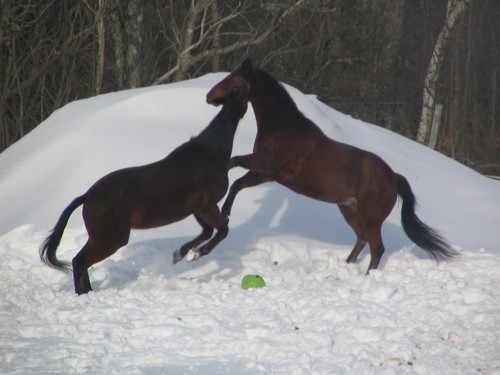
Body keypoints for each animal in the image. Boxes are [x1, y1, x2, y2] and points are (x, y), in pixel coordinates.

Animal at [40, 89, 248, 296]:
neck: (210, 152)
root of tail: (87, 196)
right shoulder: (206, 205)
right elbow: (221, 230)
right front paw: (194, 255)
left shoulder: (198, 208)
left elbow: (208, 231)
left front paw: (181, 254)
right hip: (111, 238)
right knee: (79, 261)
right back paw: (84, 294)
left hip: (103, 237)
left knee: (81, 262)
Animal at [205, 58, 456, 274]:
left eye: (232, 80)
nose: (209, 96)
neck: (284, 128)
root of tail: (393, 177)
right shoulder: (265, 173)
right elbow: (236, 180)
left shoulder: (266, 167)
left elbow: (235, 168)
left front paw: (224, 210)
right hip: (349, 210)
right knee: (362, 239)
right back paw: (346, 265)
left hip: (372, 218)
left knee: (377, 247)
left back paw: (368, 277)